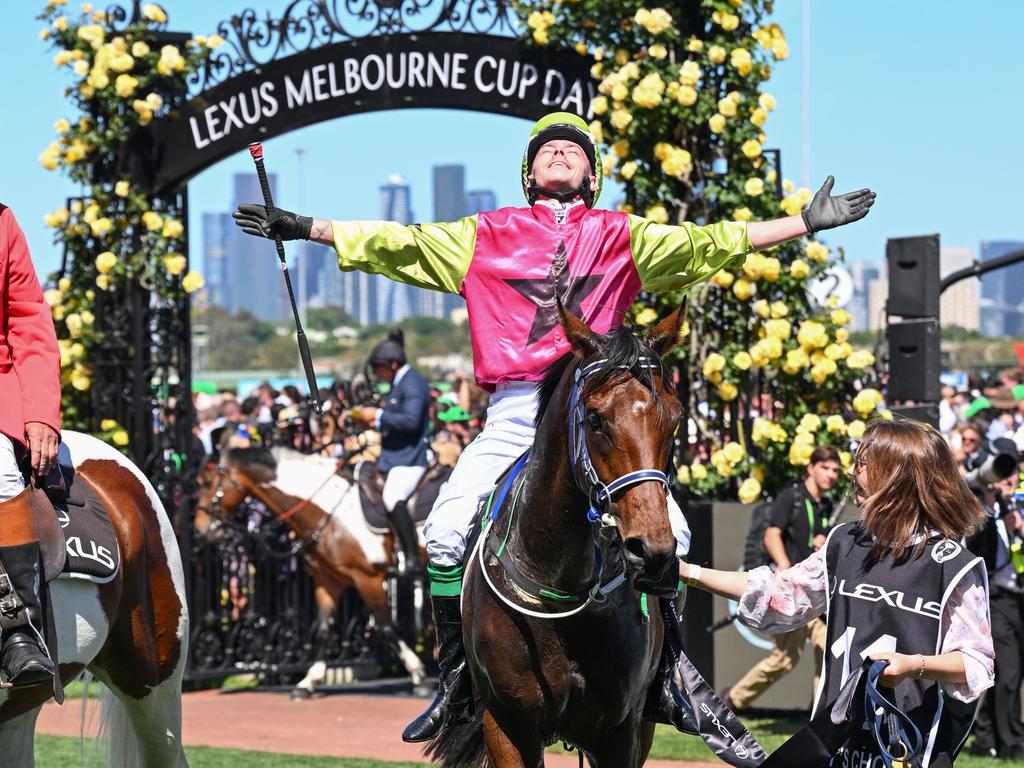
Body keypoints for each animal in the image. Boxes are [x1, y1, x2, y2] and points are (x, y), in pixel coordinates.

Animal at [193, 442, 425, 696]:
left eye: (207, 482)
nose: (199, 529)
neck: (332, 512)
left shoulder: (368, 578)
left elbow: (386, 627)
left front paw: (417, 673)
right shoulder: (328, 580)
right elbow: (323, 629)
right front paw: (308, 681)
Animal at [436, 303, 684, 765]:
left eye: (675, 418)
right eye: (595, 419)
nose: (652, 552)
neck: (559, 583)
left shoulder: (622, 728)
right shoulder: (507, 723)